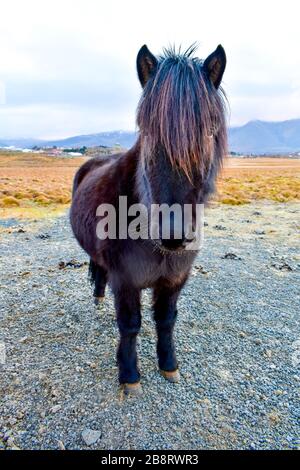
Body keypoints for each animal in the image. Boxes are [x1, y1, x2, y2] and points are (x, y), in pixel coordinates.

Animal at [69, 44, 226, 394]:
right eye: (148, 133)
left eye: (210, 134)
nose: (174, 235)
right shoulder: (125, 280)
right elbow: (129, 325)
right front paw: (129, 375)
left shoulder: (175, 278)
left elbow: (166, 320)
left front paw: (169, 365)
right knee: (97, 268)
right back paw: (98, 298)